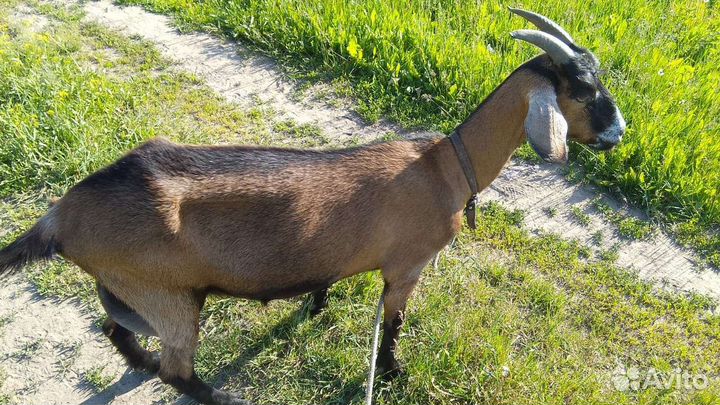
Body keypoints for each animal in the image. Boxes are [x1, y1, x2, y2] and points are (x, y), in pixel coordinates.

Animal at [0, 8, 625, 405]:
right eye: (583, 91)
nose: (618, 134)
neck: (445, 166)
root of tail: (63, 214)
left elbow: (326, 279)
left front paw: (316, 305)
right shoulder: (408, 266)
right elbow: (393, 324)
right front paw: (392, 373)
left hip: (128, 288)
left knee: (116, 330)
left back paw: (145, 365)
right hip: (169, 295)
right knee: (178, 367)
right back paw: (219, 395)